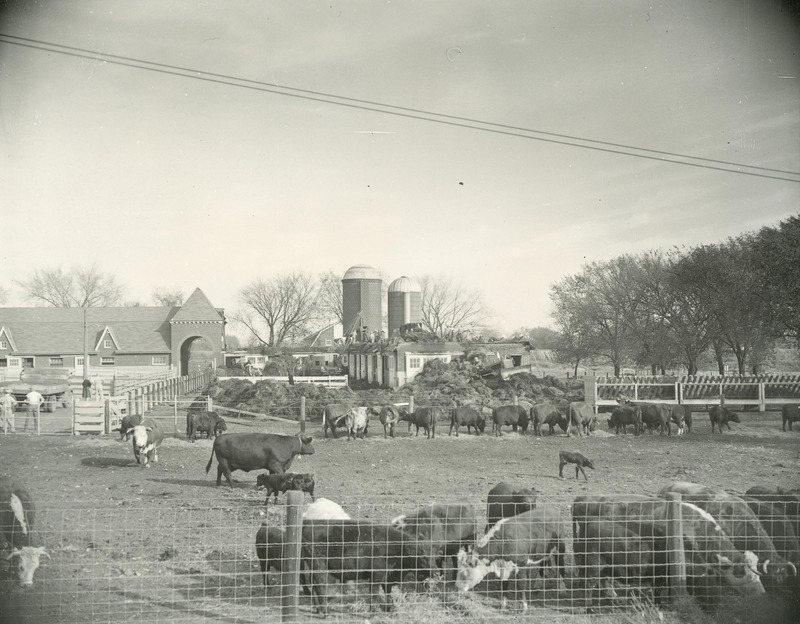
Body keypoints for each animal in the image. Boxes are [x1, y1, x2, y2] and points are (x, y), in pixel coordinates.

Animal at [300, 516, 438, 616]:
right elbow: (374, 593)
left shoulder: (387, 577)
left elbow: (388, 592)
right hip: (319, 565)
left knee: (314, 585)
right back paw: (325, 611)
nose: (436, 572)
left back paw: (318, 610)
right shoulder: (377, 575)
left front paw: (390, 609)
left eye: (434, 555)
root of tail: (309, 522)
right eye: (422, 556)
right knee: (320, 586)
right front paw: (373, 612)